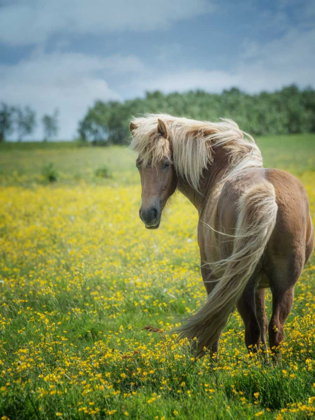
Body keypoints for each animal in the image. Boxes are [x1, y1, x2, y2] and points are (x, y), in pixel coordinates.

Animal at [128, 115, 314, 358]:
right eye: (139, 164)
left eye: (166, 163)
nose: (148, 214)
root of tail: (267, 191)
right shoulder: (261, 286)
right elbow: (264, 322)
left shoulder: (211, 276)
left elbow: (215, 331)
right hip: (283, 285)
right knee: (274, 329)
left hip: (242, 285)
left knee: (251, 331)